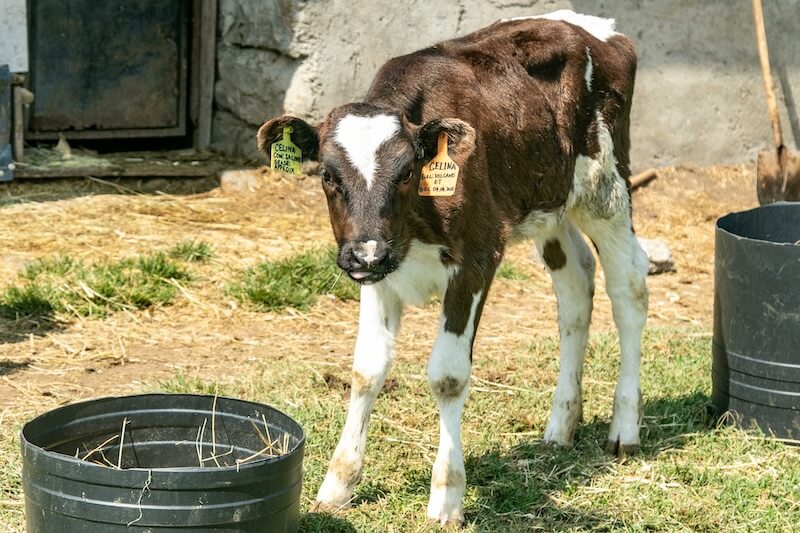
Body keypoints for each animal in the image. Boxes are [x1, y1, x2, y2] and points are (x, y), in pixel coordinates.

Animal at [257, 10, 647, 526]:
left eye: (406, 172)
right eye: (327, 174)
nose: (366, 255)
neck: (414, 226)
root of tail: (593, 26)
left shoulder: (479, 254)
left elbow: (447, 375)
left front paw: (446, 496)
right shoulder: (379, 268)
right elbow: (367, 369)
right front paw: (337, 484)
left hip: (606, 189)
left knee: (629, 287)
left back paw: (625, 427)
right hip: (548, 204)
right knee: (576, 286)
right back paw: (561, 423)